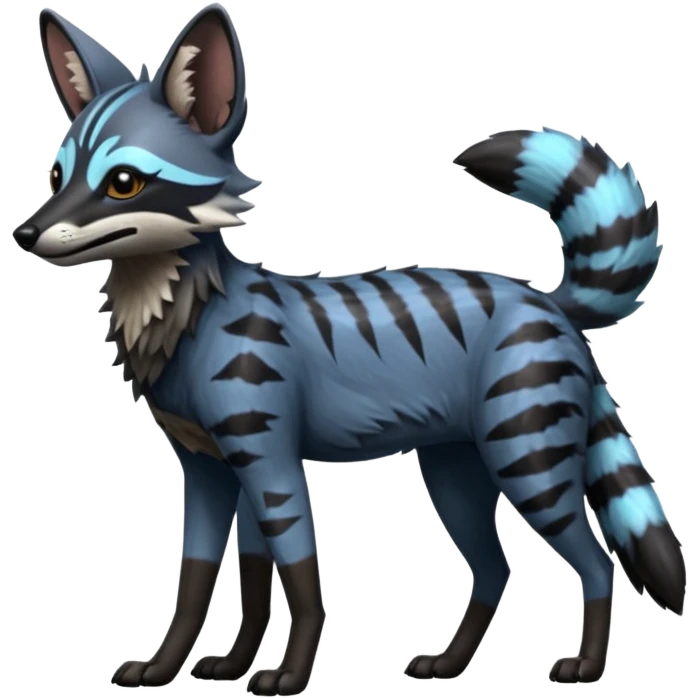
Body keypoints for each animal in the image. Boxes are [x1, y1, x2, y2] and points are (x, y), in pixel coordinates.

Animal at [14, 3, 685, 693]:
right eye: (57, 175)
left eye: (123, 183)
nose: (25, 233)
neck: (180, 318)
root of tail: (546, 299)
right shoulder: (210, 467)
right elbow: (217, 581)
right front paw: (192, 666)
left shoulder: (268, 463)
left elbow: (300, 580)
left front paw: (288, 673)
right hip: (453, 468)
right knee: (495, 569)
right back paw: (450, 664)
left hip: (528, 459)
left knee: (597, 563)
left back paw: (585, 665)